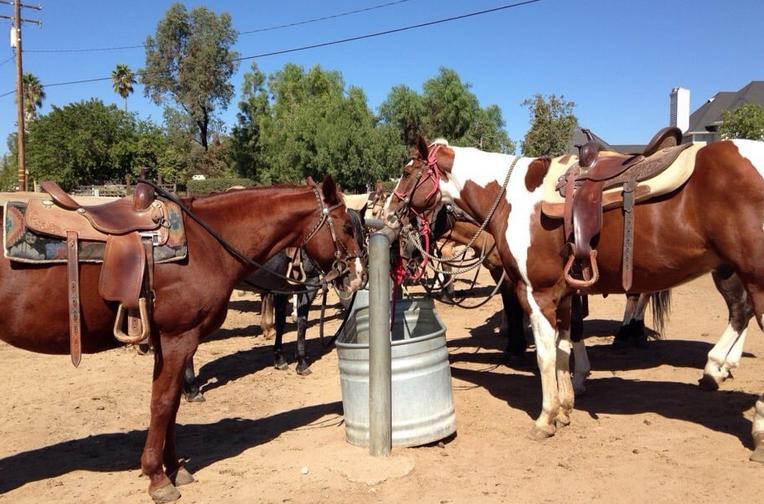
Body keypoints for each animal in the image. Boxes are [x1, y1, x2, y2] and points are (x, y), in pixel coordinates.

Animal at [0, 176, 364, 500]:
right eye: (347, 227)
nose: (357, 277)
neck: (207, 242)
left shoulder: (172, 341)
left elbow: (172, 404)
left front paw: (174, 467)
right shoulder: (178, 338)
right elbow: (162, 404)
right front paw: (157, 478)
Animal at [384, 136, 764, 462]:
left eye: (407, 172)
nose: (387, 215)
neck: (513, 198)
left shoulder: (536, 294)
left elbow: (546, 356)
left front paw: (545, 417)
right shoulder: (564, 296)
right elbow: (565, 349)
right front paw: (566, 407)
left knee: (739, 311)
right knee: (739, 311)